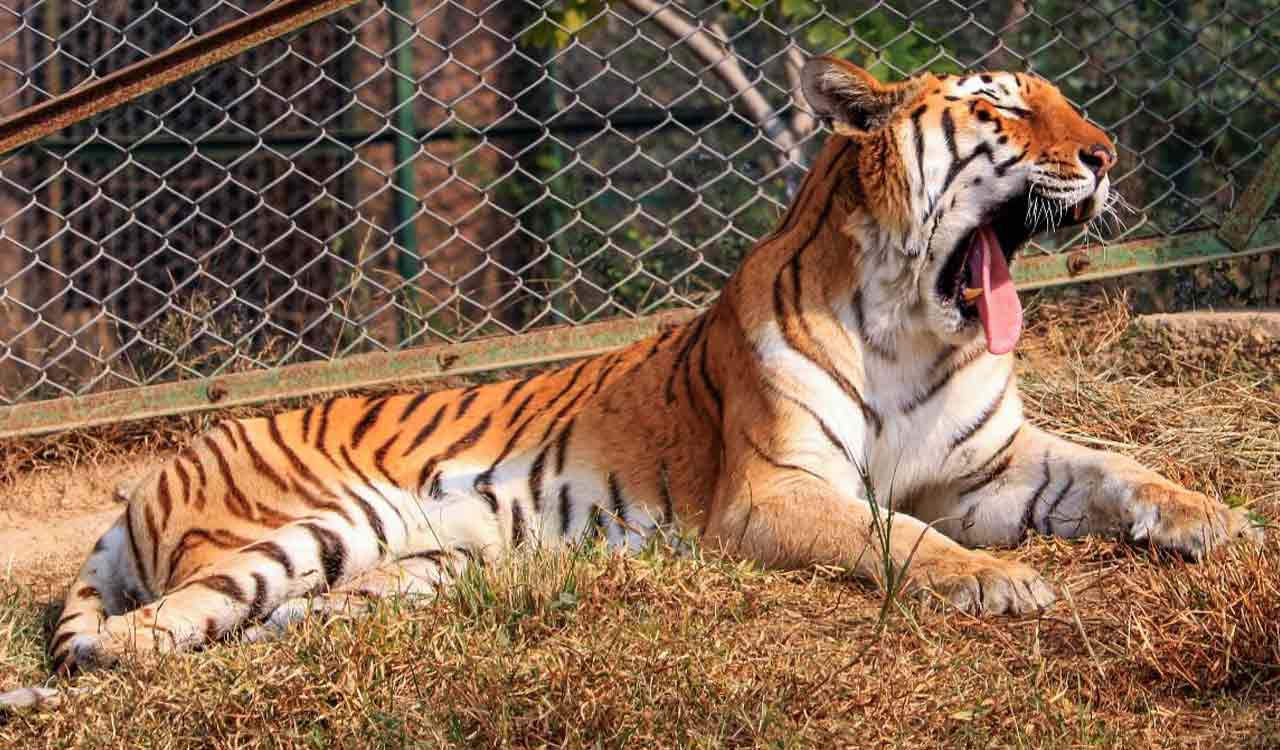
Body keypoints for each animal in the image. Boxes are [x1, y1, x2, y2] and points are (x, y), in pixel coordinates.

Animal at [1, 54, 1261, 710]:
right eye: (1002, 108)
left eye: (1062, 105)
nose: (1103, 154)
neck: (919, 324)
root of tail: (153, 474)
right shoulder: (773, 492)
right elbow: (895, 536)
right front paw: (1001, 584)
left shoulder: (992, 468)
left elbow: (1116, 466)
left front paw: (1220, 520)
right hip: (287, 530)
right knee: (141, 634)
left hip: (418, 561)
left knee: (282, 619)